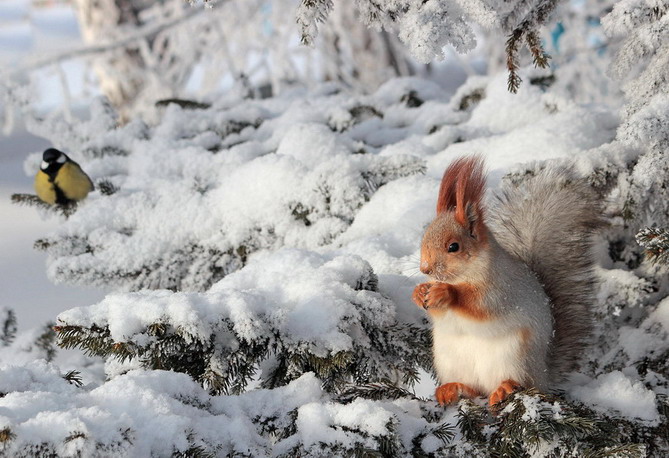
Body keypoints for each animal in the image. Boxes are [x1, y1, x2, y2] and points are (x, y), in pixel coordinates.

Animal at [412, 156, 600, 406]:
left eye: (453, 247)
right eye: (424, 238)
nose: (425, 268)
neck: (462, 276)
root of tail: (543, 375)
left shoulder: (503, 288)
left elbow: (482, 305)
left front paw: (446, 293)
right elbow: (438, 315)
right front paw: (419, 292)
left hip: (515, 357)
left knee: (516, 383)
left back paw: (504, 388)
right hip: (449, 359)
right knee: (473, 389)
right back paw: (452, 388)